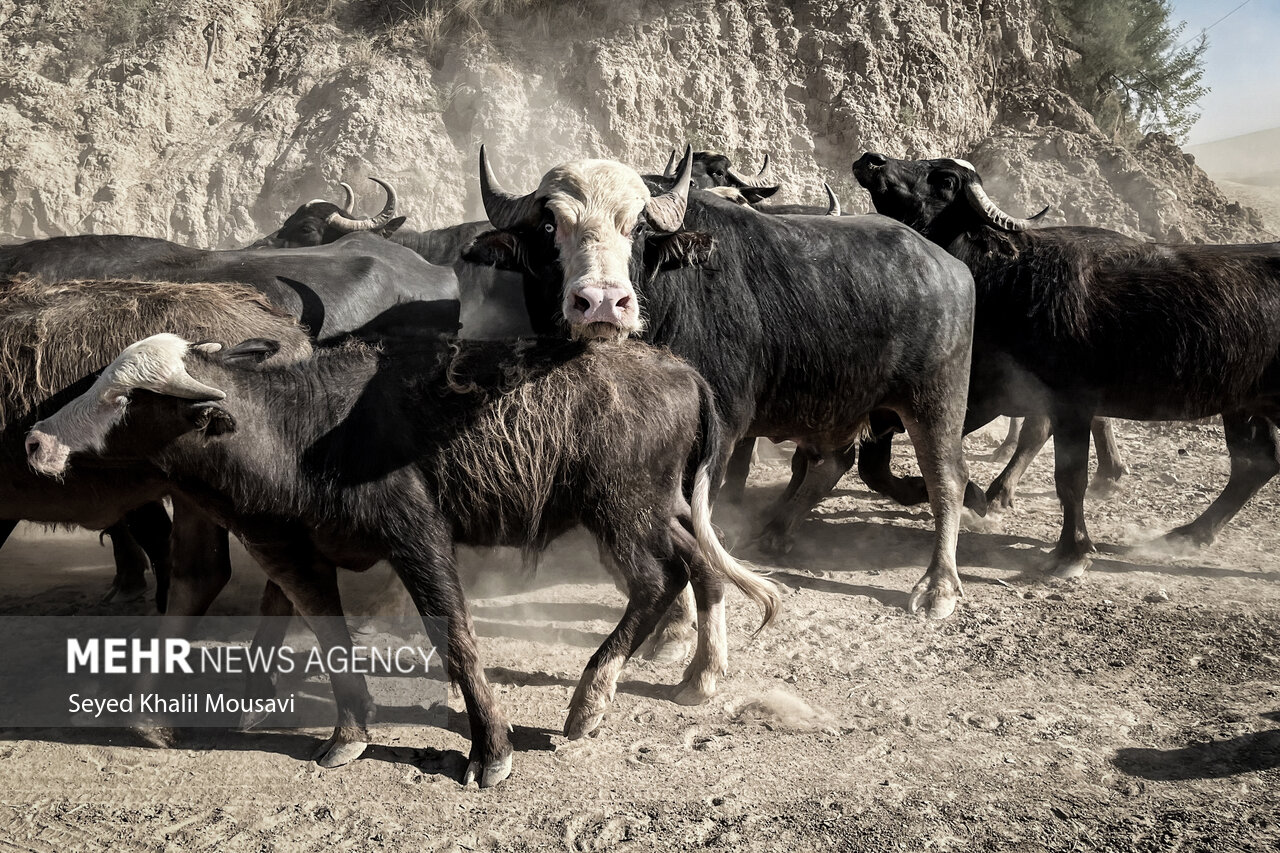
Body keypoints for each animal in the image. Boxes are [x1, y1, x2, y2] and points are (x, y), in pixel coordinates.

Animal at [27, 333, 778, 783]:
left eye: (120, 397)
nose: (34, 441)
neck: (300, 433)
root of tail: (679, 369)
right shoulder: (293, 550)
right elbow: (315, 630)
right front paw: (337, 730)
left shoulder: (416, 536)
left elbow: (455, 638)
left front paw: (491, 751)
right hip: (657, 507)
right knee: (701, 563)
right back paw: (700, 675)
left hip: (622, 511)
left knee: (658, 579)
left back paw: (589, 702)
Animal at [465, 144, 972, 612]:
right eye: (550, 227)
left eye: (639, 227)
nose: (603, 302)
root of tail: (949, 266)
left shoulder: (723, 427)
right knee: (835, 461)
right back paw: (776, 531)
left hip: (935, 400)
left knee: (948, 479)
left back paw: (938, 586)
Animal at [855, 154, 1280, 578]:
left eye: (944, 180)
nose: (872, 161)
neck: (1012, 278)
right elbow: (881, 456)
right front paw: (966, 495)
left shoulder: (1065, 402)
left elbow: (1069, 476)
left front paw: (1071, 550)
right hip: (1244, 406)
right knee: (1255, 464)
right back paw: (1188, 534)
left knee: (1254, 463)